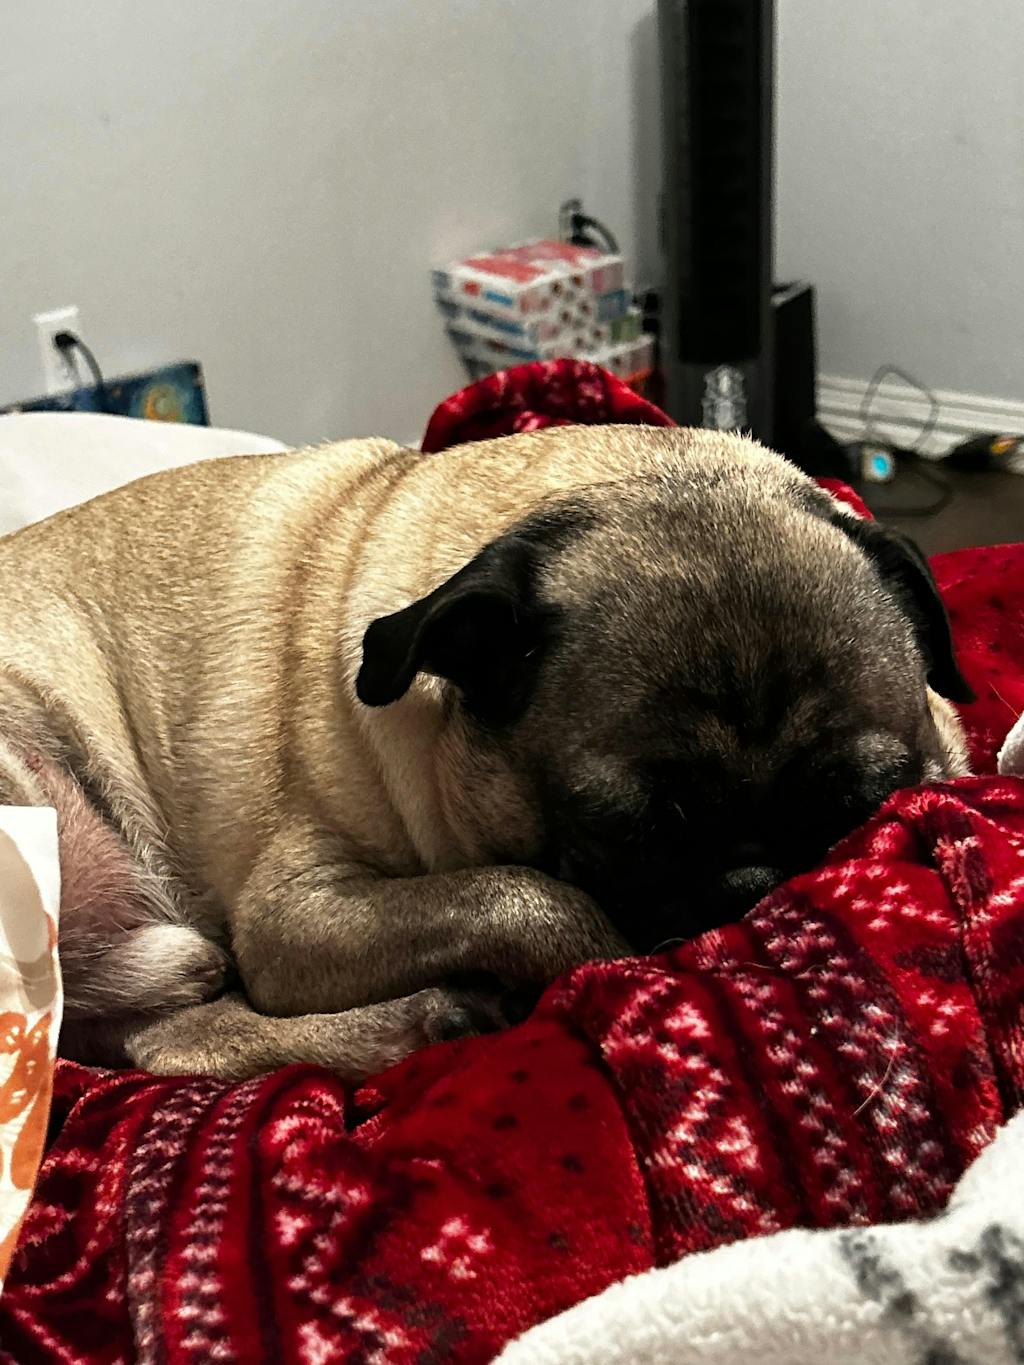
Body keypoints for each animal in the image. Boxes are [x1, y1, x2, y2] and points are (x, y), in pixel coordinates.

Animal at [0, 424, 972, 1080]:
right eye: (627, 828)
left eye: (860, 806)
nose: (756, 881)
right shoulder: (293, 917)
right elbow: (534, 902)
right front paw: (605, 955)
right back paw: (422, 1020)